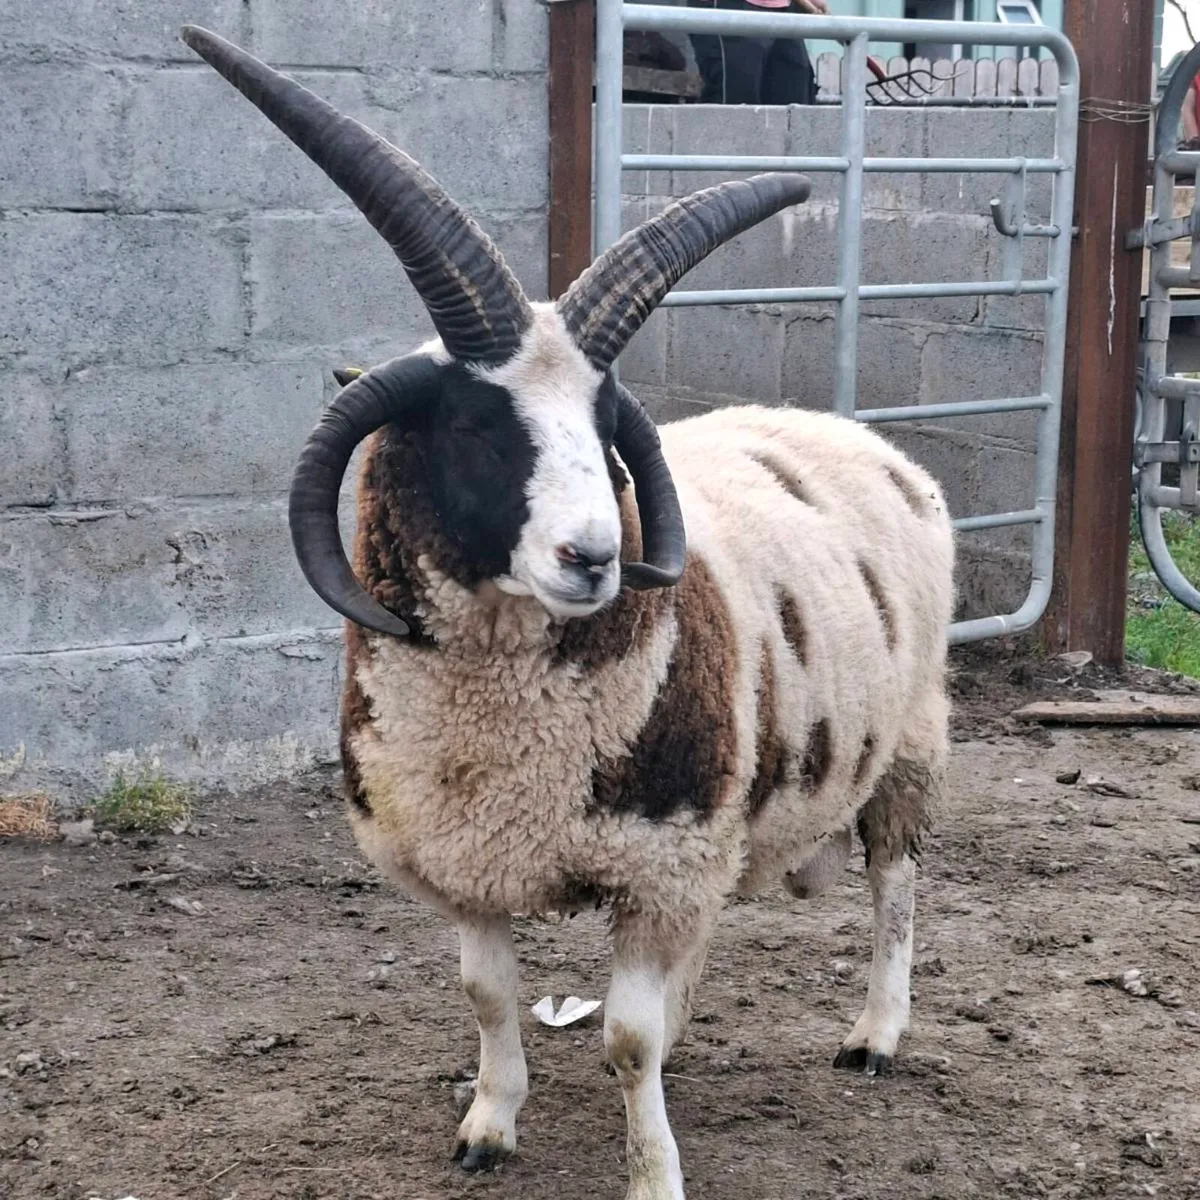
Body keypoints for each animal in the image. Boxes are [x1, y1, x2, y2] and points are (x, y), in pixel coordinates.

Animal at [182, 26, 955, 1200]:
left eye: (604, 430)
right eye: (470, 425)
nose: (593, 557)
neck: (500, 731)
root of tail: (855, 434)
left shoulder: (659, 855)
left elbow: (625, 1040)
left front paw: (653, 1171)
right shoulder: (476, 863)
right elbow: (490, 998)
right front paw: (488, 1126)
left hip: (905, 746)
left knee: (897, 885)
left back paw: (876, 1033)